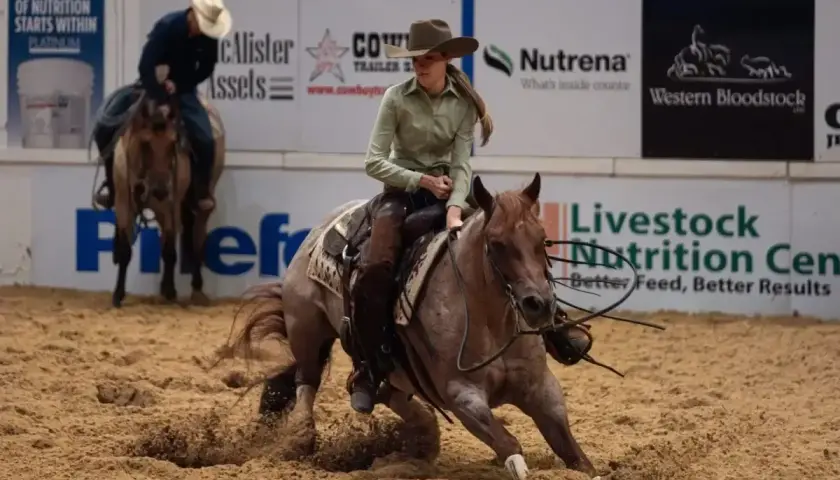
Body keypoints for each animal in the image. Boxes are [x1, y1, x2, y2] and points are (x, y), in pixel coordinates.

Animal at [92, 67, 226, 308]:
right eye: (145, 144)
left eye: (174, 144)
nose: (161, 190)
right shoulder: (125, 202)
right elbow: (126, 249)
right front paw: (118, 294)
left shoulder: (170, 205)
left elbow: (170, 249)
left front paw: (171, 291)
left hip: (198, 200)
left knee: (196, 238)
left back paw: (196, 289)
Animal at [228, 173, 603, 480]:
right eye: (496, 243)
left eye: (542, 239)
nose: (539, 304)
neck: (489, 322)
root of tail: (320, 231)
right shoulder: (462, 396)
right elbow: (509, 445)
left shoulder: (542, 389)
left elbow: (575, 456)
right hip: (308, 329)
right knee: (307, 382)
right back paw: (300, 439)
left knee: (385, 392)